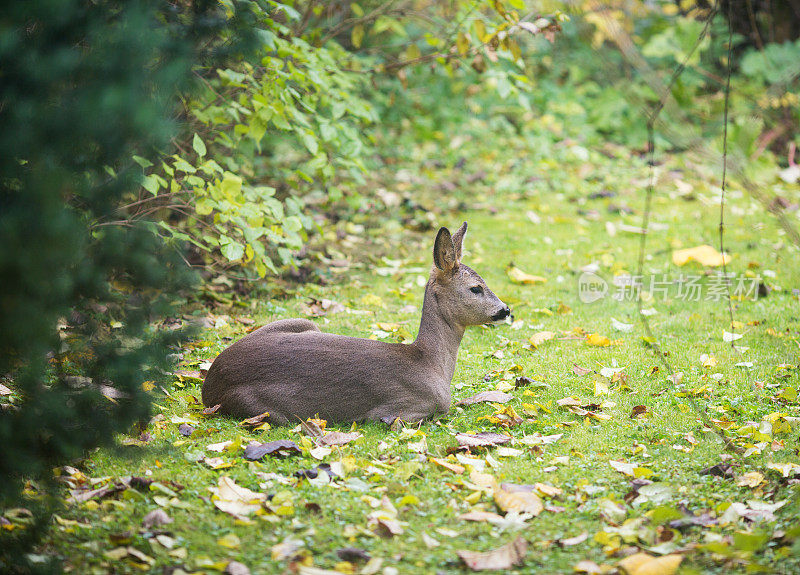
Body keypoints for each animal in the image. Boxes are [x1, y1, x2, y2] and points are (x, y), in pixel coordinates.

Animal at [202, 223, 512, 426]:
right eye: (476, 288)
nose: (506, 310)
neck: (430, 364)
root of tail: (208, 386)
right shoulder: (402, 410)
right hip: (262, 407)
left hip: (302, 323)